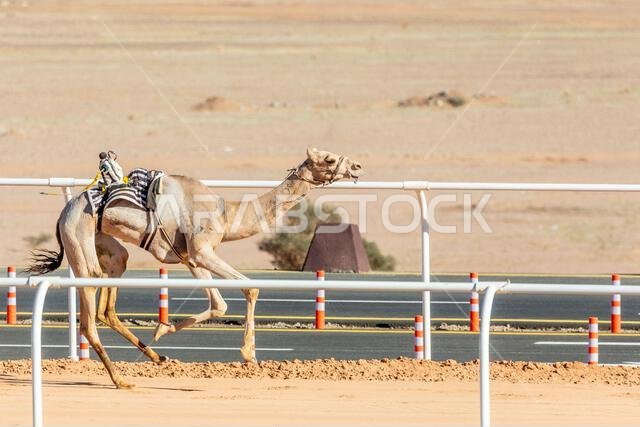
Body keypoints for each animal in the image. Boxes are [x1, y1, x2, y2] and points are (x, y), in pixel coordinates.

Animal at [28, 148, 363, 388]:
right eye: (329, 158)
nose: (357, 166)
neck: (227, 215)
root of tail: (63, 213)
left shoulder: (191, 257)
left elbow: (219, 304)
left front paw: (163, 329)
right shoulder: (202, 251)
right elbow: (249, 287)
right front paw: (248, 355)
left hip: (108, 248)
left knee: (109, 298)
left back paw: (156, 357)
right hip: (79, 237)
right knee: (89, 314)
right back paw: (120, 379)